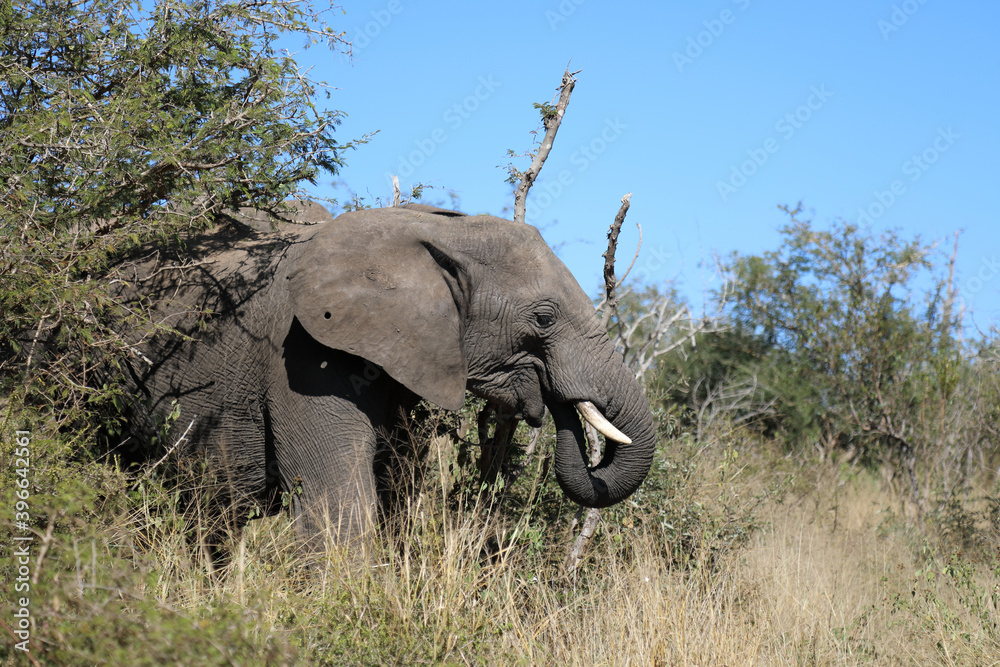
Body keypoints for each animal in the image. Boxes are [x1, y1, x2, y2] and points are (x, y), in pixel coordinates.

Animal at [116, 202, 656, 544]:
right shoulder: (305, 354)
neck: (433, 234)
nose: (554, 401)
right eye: (543, 319)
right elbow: (338, 508)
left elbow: (397, 484)